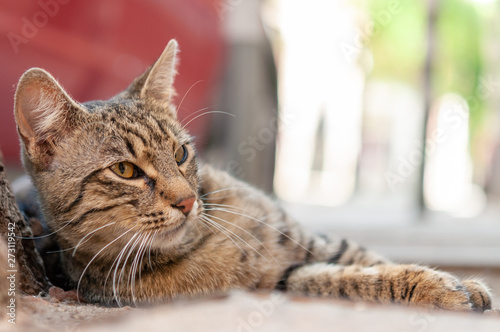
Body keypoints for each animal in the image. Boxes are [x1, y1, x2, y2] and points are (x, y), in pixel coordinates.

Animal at [12, 40, 492, 310]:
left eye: (181, 152)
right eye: (125, 170)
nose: (187, 200)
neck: (204, 239)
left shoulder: (310, 242)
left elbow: (370, 259)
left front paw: (459, 283)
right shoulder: (281, 278)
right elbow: (351, 278)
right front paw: (440, 288)